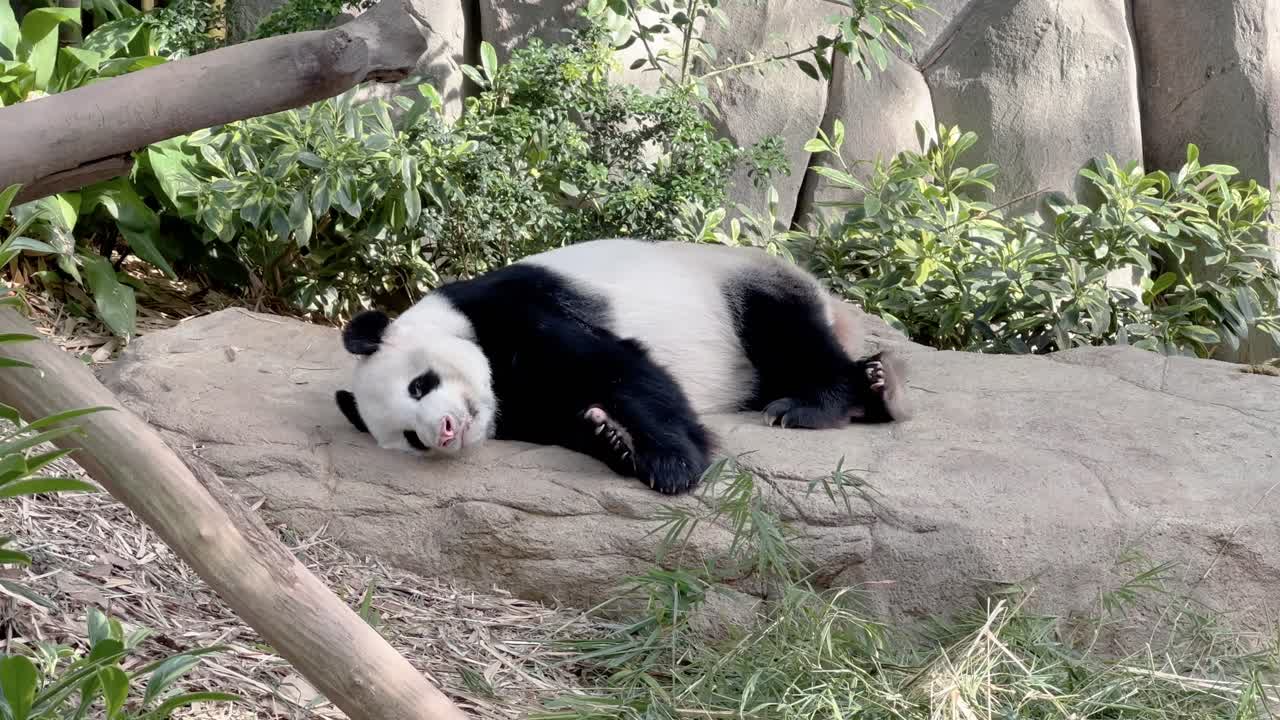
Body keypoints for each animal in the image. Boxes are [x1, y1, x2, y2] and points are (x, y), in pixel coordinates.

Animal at [334, 238, 909, 495]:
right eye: (411, 438)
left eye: (419, 385)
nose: (445, 431)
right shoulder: (521, 408)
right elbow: (565, 417)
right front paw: (609, 438)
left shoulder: (511, 309)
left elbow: (619, 369)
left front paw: (672, 464)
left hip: (743, 287)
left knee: (787, 336)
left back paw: (822, 402)